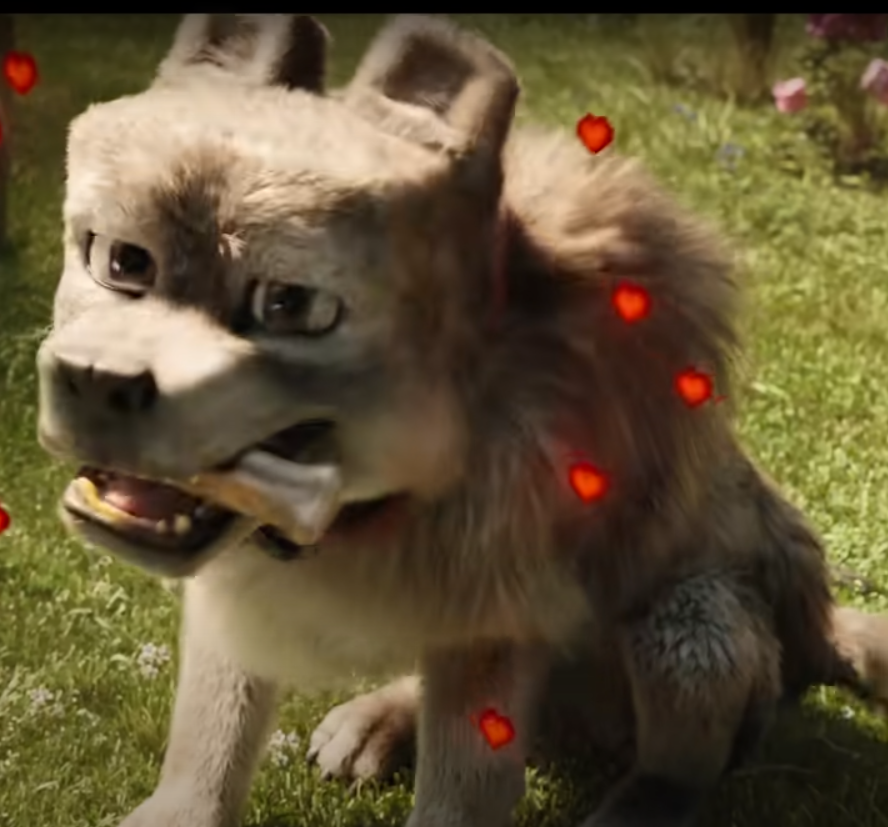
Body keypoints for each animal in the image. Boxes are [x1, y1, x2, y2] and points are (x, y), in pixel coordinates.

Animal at [35, 13, 888, 827]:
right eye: (120, 262)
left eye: (291, 304)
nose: (98, 384)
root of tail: (819, 622)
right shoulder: (242, 593)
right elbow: (208, 740)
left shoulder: (498, 616)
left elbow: (464, 789)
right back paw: (379, 718)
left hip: (695, 625)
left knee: (684, 763)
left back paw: (635, 806)